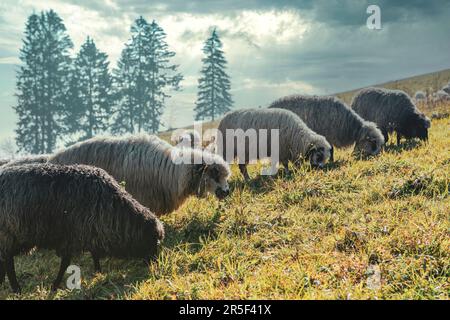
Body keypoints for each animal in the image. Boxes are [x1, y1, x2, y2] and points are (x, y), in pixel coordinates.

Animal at [0, 162, 164, 292]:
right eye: (153, 240)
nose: (155, 264)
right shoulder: (73, 235)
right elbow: (66, 263)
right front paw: (55, 286)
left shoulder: (90, 230)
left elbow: (94, 253)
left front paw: (98, 272)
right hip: (8, 233)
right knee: (8, 261)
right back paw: (16, 288)